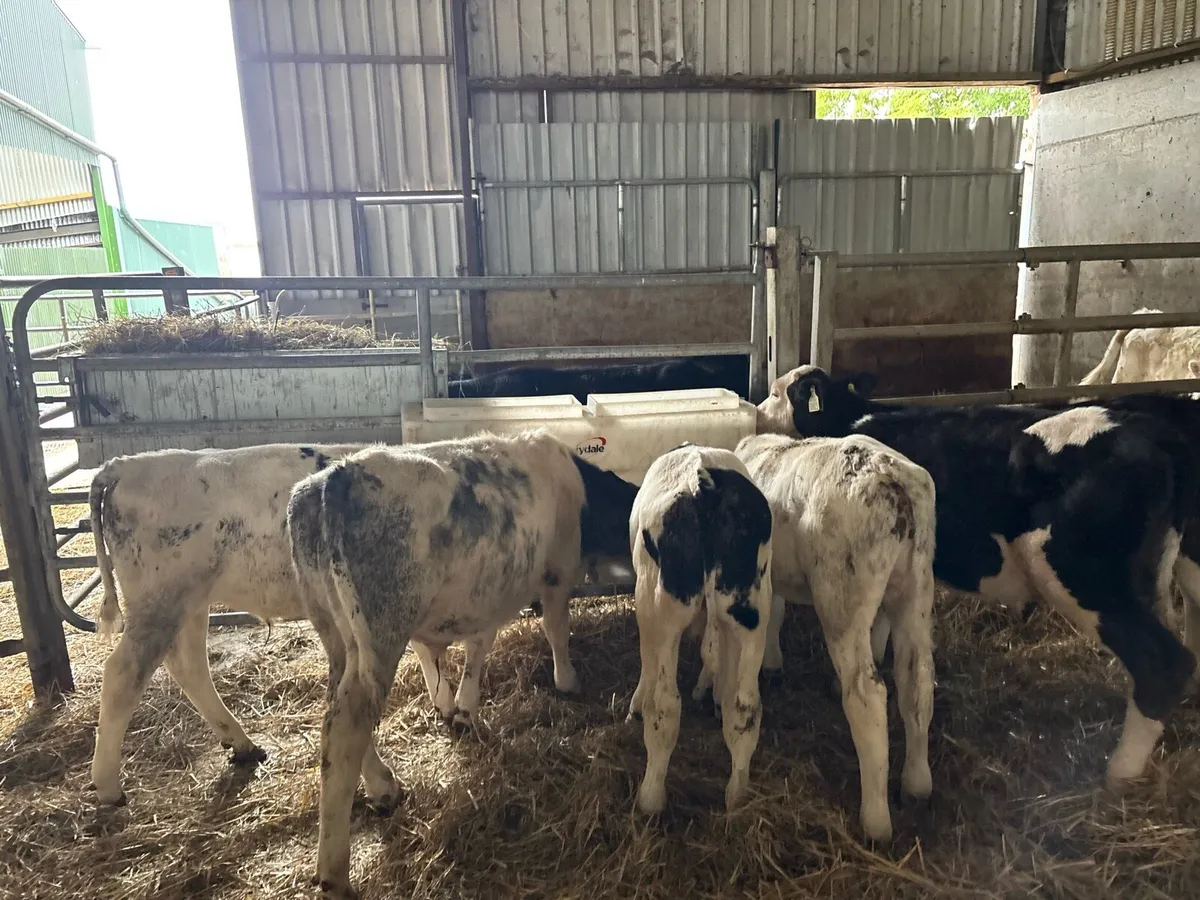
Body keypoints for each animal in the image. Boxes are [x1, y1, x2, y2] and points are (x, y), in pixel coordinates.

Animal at [87, 443, 367, 807]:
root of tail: (125, 464)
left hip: (190, 602)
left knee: (188, 665)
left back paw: (242, 744)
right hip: (159, 602)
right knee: (123, 674)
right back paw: (109, 786)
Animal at [286, 429, 639, 899]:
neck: (580, 488)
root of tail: (330, 483)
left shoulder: (483, 598)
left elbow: (476, 646)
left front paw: (460, 707)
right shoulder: (557, 572)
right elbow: (555, 627)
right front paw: (567, 680)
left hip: (337, 637)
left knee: (337, 712)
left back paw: (383, 786)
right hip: (379, 635)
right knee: (346, 729)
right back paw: (336, 871)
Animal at [626, 444, 773, 818]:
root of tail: (706, 484)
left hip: (661, 604)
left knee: (664, 706)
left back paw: (650, 799)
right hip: (751, 610)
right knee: (745, 708)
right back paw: (737, 796)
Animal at [732, 432, 936, 843]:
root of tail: (895, 483)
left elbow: (774, 612)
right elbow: (776, 612)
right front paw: (774, 665)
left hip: (841, 590)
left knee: (865, 694)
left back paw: (875, 820)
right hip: (916, 584)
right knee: (917, 680)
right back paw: (917, 783)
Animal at [756, 365, 1198, 797]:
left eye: (777, 392)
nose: (758, 410)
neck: (851, 417)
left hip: (1084, 576)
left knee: (1162, 662)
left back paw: (1119, 772)